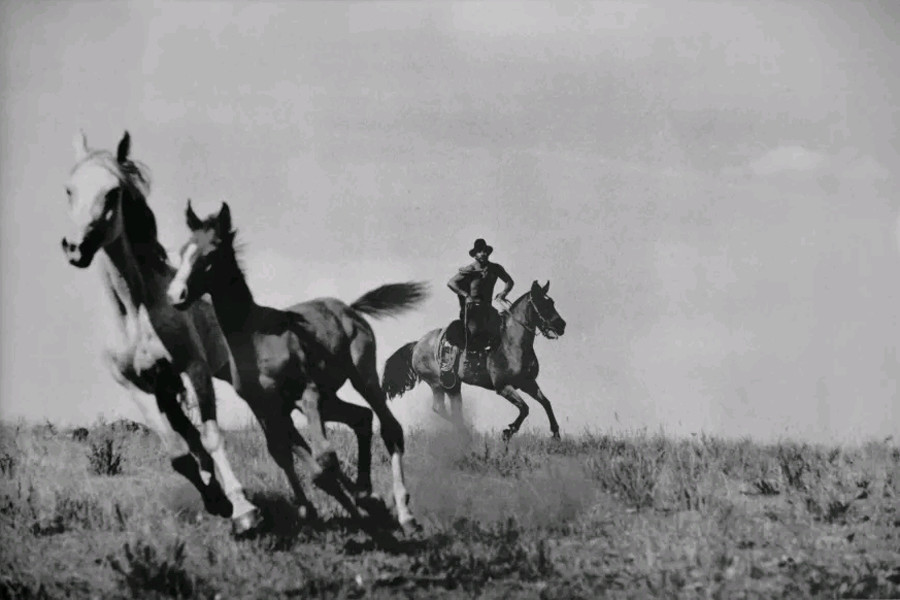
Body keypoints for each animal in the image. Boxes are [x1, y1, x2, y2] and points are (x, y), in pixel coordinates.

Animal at [60, 131, 260, 536]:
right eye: (70, 189)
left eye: (113, 193)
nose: (75, 248)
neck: (135, 313)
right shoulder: (138, 386)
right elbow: (179, 453)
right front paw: (215, 501)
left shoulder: (194, 370)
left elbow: (212, 437)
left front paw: (243, 510)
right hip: (166, 394)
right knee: (188, 437)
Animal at [168, 202, 428, 528]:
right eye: (183, 251)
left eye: (212, 253)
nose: (175, 295)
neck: (255, 336)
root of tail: (350, 308)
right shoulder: (265, 406)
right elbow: (286, 455)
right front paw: (320, 509)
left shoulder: (307, 392)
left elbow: (324, 458)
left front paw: (363, 507)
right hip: (328, 396)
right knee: (361, 417)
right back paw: (368, 492)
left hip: (361, 376)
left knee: (389, 427)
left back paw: (404, 512)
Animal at [382, 282, 568, 440]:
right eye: (542, 303)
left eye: (552, 302)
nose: (561, 325)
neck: (511, 343)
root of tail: (417, 344)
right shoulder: (503, 387)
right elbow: (525, 408)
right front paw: (509, 431)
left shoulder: (528, 383)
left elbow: (546, 402)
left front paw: (556, 433)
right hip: (437, 383)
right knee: (440, 408)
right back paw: (467, 432)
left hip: (453, 385)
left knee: (454, 409)